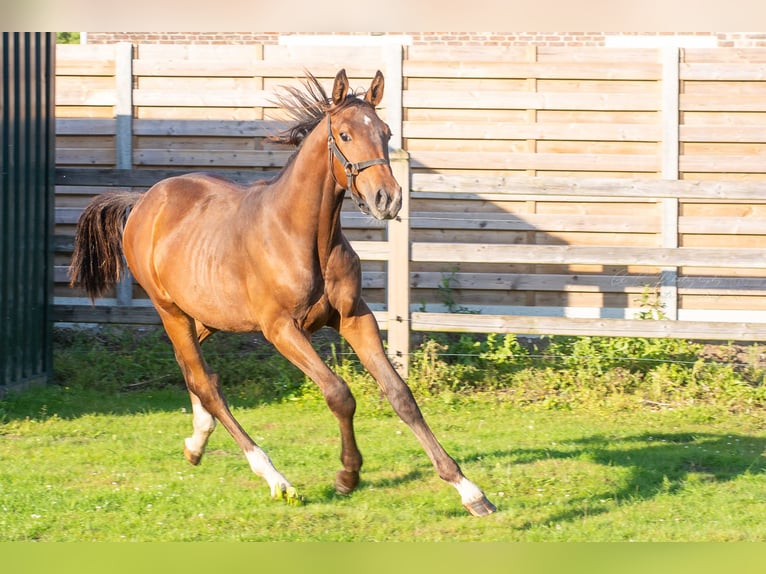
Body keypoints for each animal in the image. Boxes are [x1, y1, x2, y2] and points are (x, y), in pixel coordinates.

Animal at [70, 70, 498, 520]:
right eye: (344, 134)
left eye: (385, 132)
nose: (388, 199)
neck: (304, 236)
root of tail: (143, 201)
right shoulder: (281, 330)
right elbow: (339, 393)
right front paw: (348, 476)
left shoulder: (354, 317)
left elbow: (400, 395)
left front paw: (469, 490)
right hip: (170, 311)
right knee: (205, 381)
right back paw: (276, 479)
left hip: (204, 317)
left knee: (193, 371)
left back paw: (196, 443)